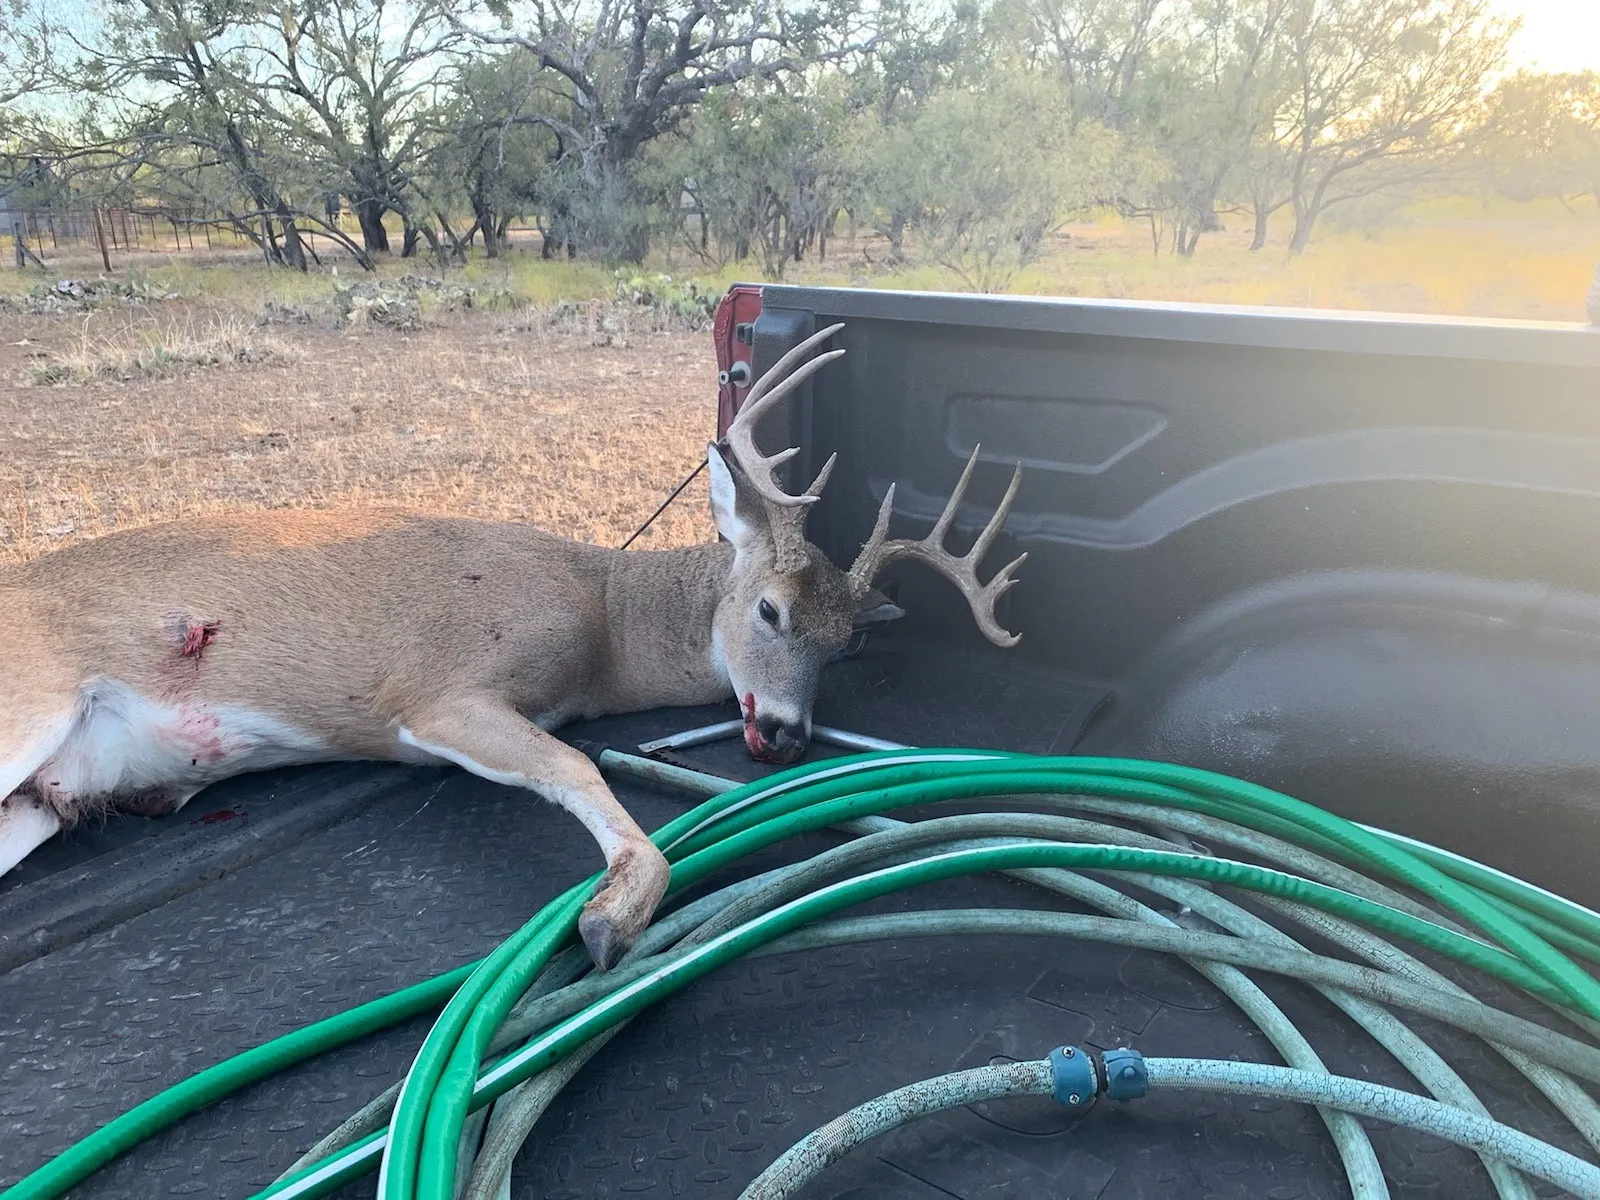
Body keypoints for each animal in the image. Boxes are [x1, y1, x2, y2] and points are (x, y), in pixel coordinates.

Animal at [0, 322, 1025, 971]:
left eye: (846, 646)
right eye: (770, 611)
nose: (784, 733)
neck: (603, 617)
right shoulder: (440, 695)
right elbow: (578, 767)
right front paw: (609, 918)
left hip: (43, 799)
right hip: (25, 706)